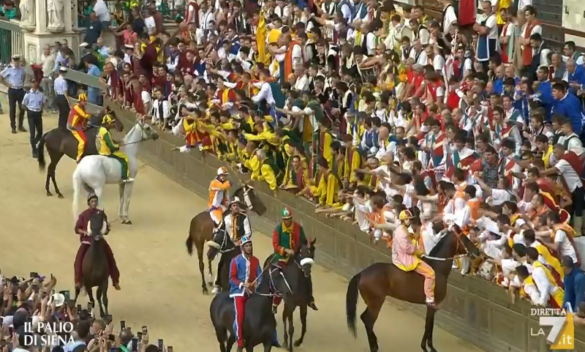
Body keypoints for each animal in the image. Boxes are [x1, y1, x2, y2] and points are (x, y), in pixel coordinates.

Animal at [344, 227, 476, 350]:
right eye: (466, 238)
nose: (477, 251)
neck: (437, 268)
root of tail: (362, 273)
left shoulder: (431, 306)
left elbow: (428, 324)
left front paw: (425, 346)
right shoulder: (433, 305)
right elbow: (429, 325)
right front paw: (429, 347)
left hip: (372, 303)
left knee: (364, 319)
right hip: (376, 304)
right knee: (368, 321)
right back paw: (374, 346)